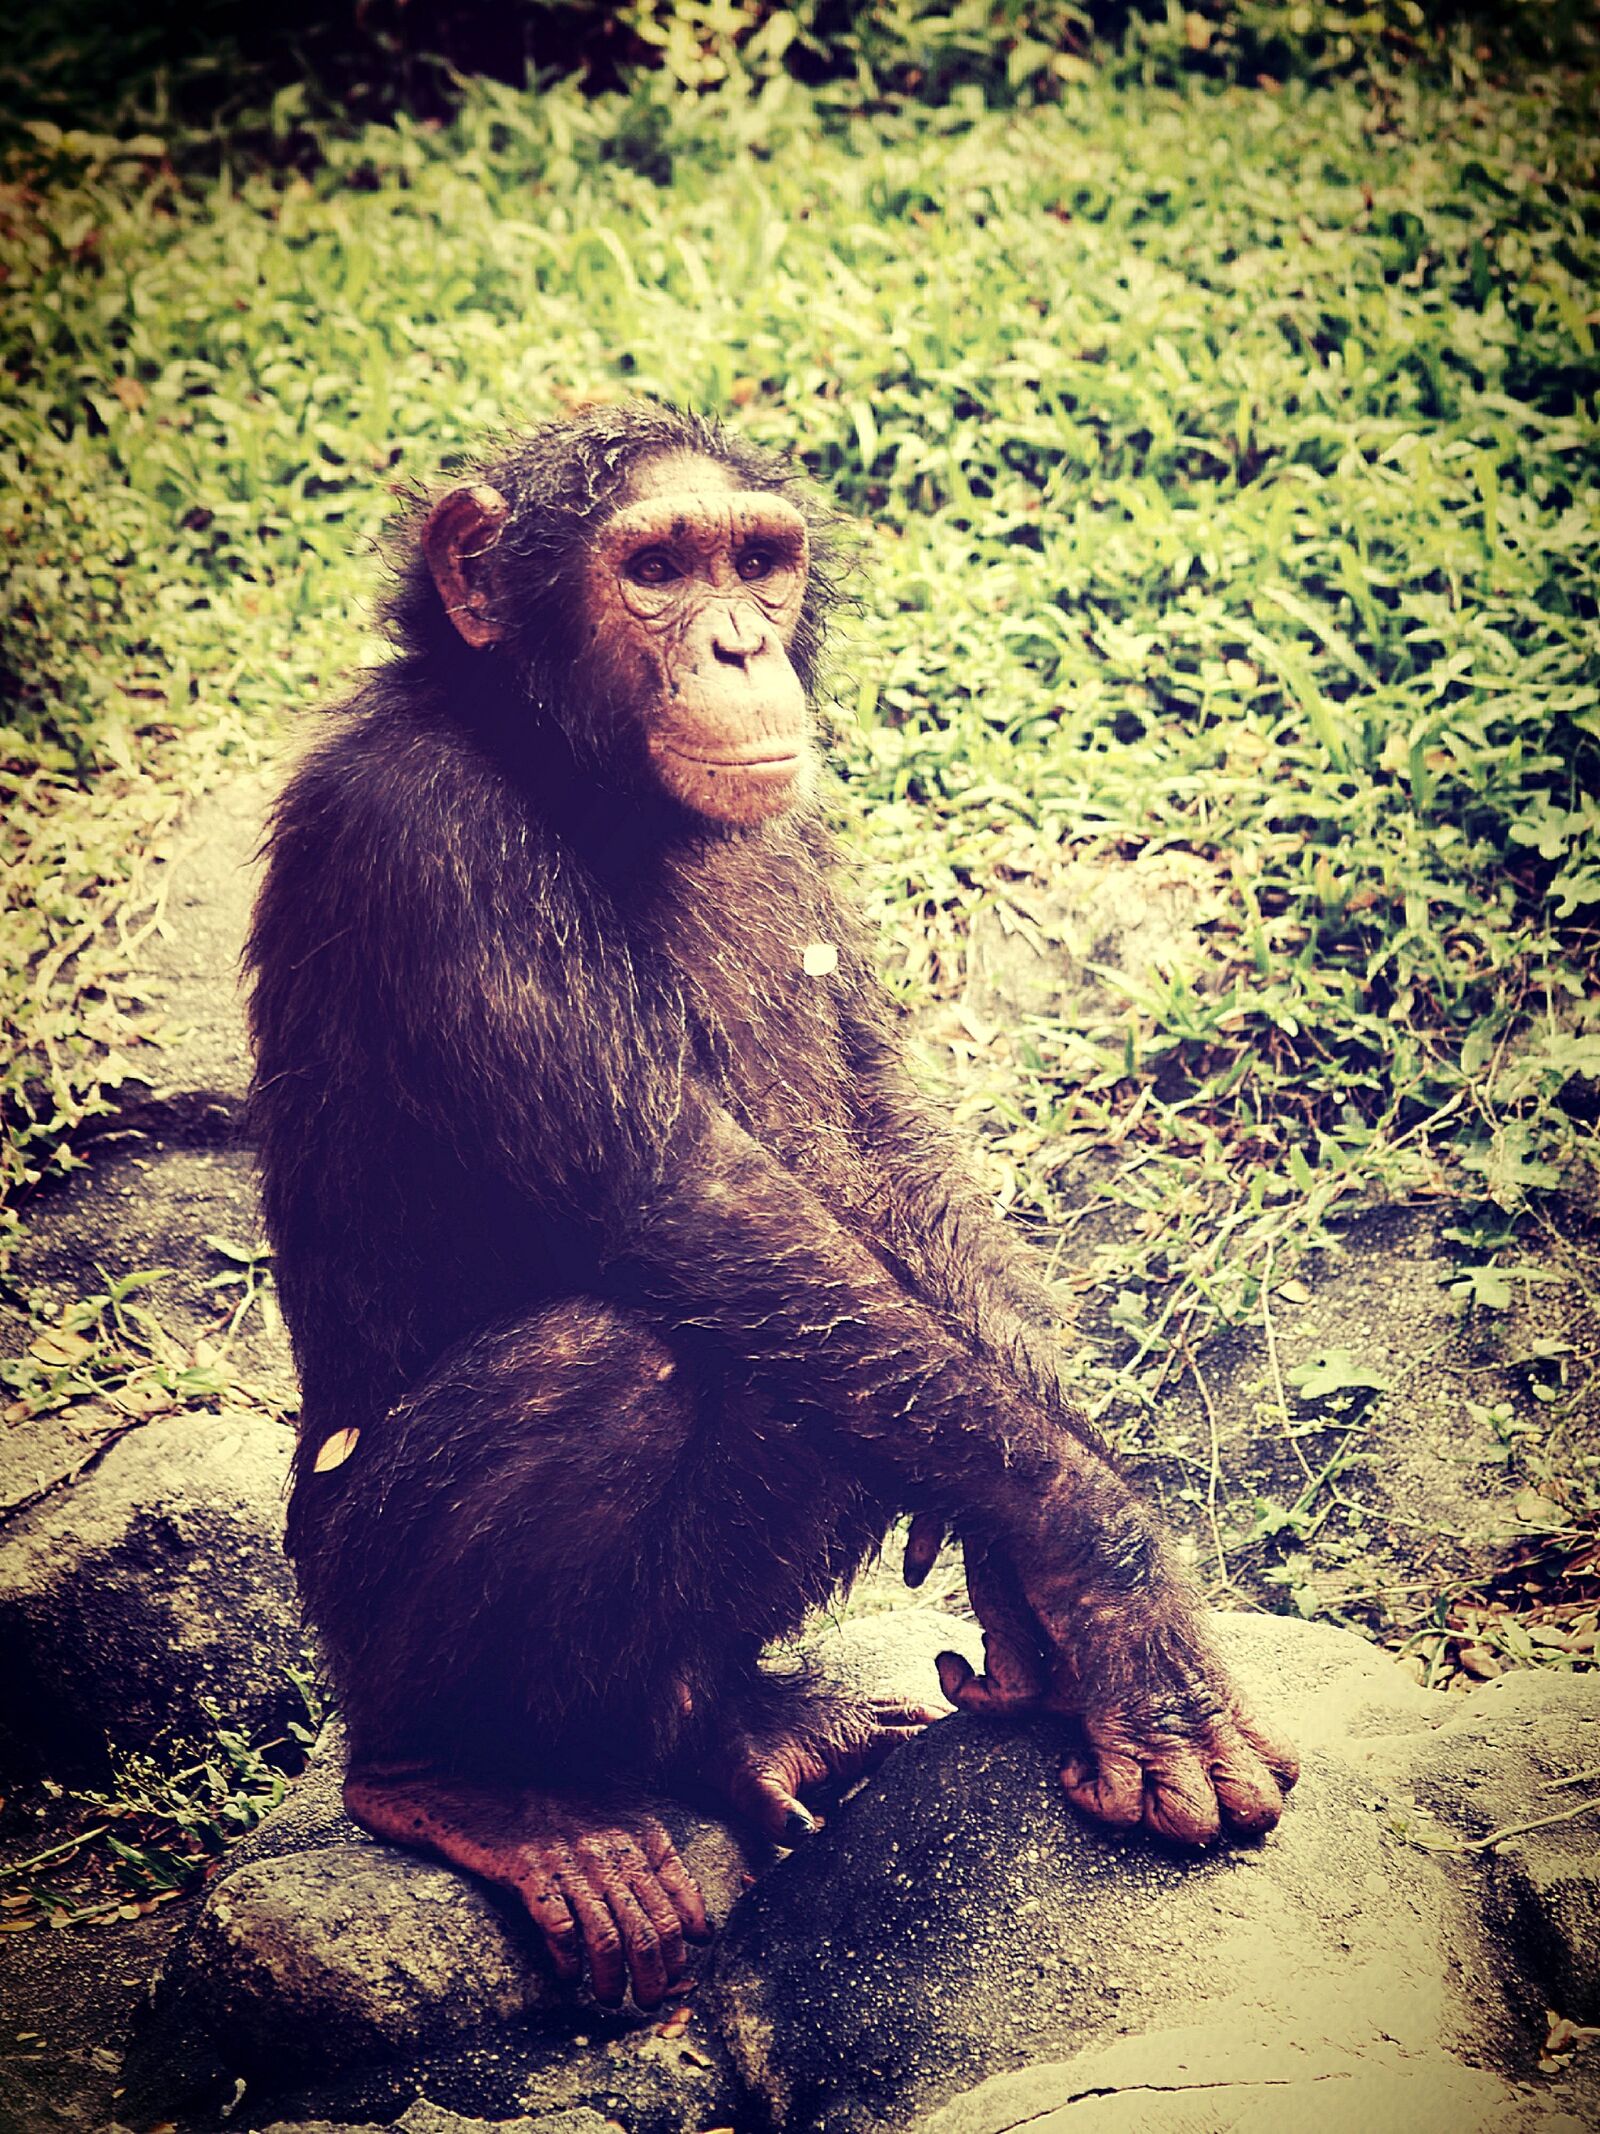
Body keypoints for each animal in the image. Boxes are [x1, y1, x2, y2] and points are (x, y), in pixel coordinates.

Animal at [246, 402, 1296, 2012]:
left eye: (756, 560)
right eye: (656, 568)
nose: (742, 644)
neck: (567, 768)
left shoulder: (801, 836)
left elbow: (879, 1124)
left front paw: (1033, 1569)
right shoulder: (426, 837)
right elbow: (689, 1191)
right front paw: (1107, 1567)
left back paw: (738, 1724)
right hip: (353, 1612)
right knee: (623, 1357)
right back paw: (478, 1788)